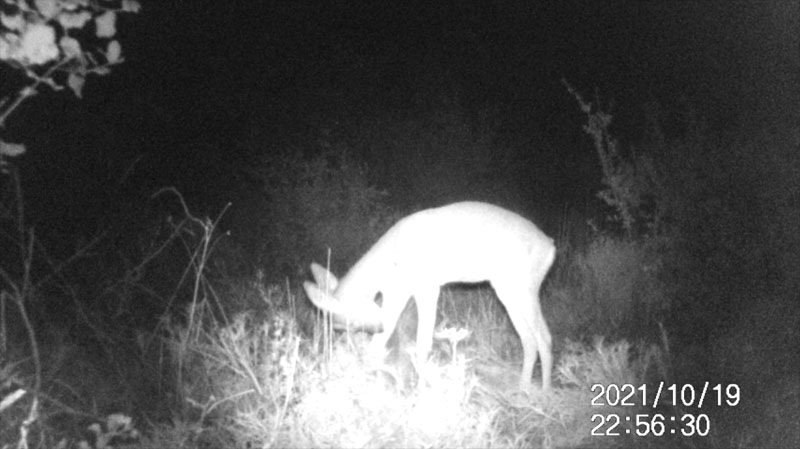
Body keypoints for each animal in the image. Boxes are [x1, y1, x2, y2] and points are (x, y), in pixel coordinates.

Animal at [304, 201, 552, 390]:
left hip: (525, 287)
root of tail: (550, 247)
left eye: (350, 326)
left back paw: (545, 394)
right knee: (528, 339)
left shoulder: (428, 287)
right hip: (507, 290)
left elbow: (423, 343)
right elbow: (379, 344)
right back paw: (522, 391)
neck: (390, 260)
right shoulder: (398, 292)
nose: (376, 327)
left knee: (544, 337)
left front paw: (421, 389)